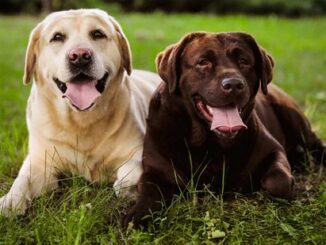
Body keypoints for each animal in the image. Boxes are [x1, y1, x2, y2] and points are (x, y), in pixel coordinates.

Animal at [0, 8, 160, 215]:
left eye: (98, 34)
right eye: (57, 37)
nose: (80, 56)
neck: (80, 120)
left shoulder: (138, 152)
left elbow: (126, 177)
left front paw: (129, 190)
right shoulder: (38, 162)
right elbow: (22, 179)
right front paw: (11, 201)